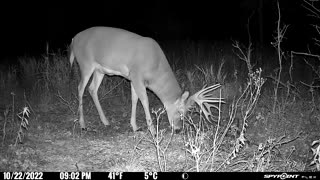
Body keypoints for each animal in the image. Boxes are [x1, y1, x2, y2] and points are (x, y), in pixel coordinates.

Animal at [69, 26, 222, 134]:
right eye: (180, 112)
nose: (178, 129)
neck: (156, 66)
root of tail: (73, 39)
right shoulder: (137, 75)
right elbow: (144, 100)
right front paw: (152, 129)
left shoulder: (133, 78)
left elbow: (134, 99)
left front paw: (135, 126)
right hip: (85, 63)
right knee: (80, 87)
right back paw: (83, 125)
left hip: (100, 70)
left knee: (92, 89)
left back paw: (105, 121)